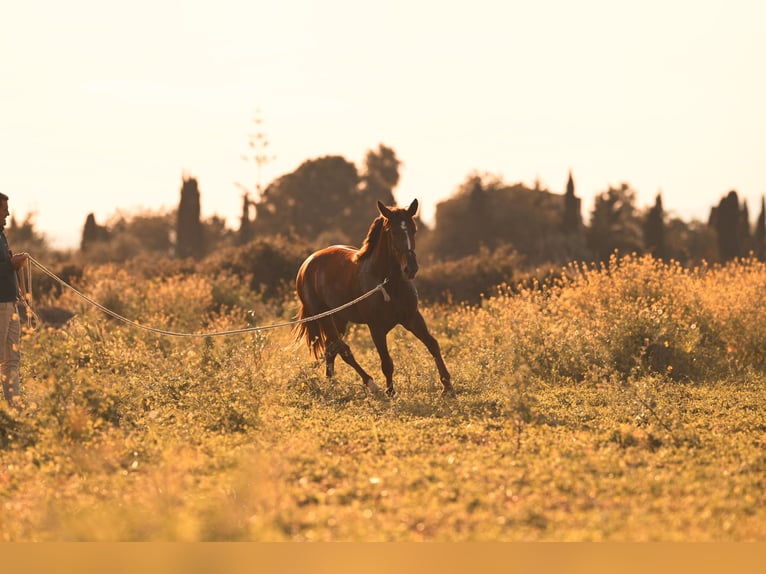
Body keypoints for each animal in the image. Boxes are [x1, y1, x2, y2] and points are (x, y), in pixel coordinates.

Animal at [294, 199, 454, 397]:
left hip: (339, 319)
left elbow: (433, 345)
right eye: (394, 232)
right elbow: (386, 362)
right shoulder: (376, 329)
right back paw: (371, 384)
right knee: (343, 349)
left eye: (413, 229)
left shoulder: (412, 318)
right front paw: (390, 392)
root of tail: (307, 264)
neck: (387, 283)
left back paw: (331, 385)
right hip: (323, 317)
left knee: (331, 349)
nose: (411, 269)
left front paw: (448, 387)